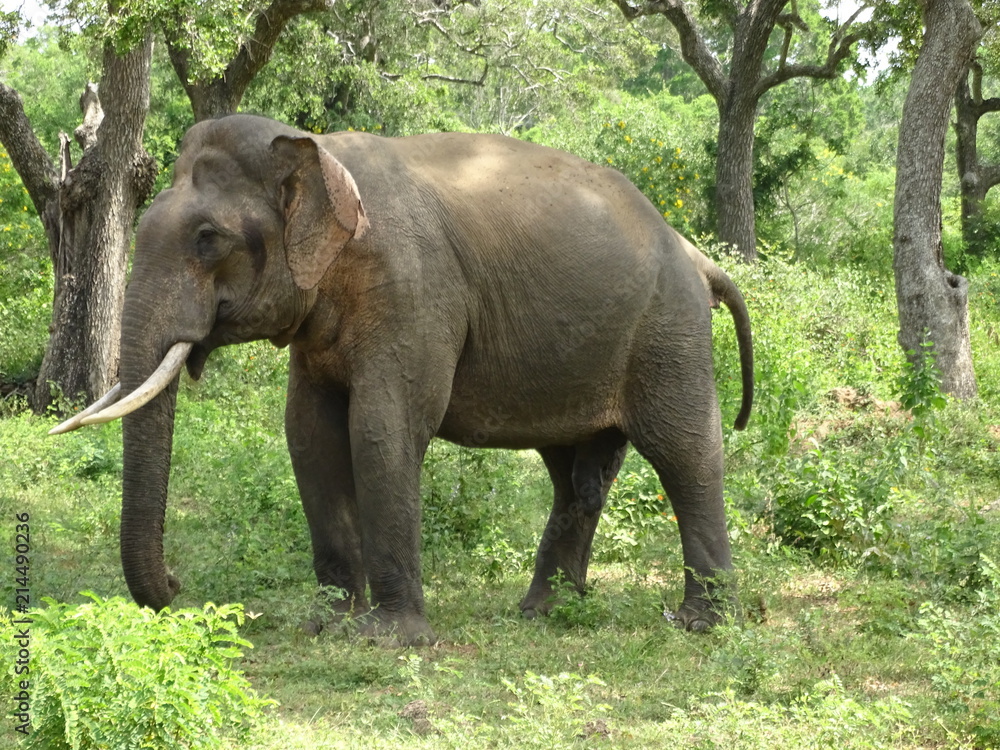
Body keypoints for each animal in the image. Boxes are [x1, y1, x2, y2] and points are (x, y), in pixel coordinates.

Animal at [52, 114, 754, 644]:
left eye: (206, 238)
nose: (176, 586)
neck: (319, 152)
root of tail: (693, 251)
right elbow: (309, 435)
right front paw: (326, 626)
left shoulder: (413, 289)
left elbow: (382, 428)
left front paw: (391, 640)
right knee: (574, 475)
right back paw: (543, 614)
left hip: (670, 328)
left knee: (685, 452)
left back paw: (701, 624)